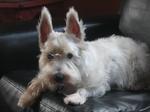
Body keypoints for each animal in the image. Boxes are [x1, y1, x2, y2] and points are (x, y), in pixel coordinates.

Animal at [17, 6, 150, 107]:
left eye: (70, 55)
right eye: (49, 56)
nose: (58, 77)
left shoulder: (99, 86)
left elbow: (84, 89)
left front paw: (74, 97)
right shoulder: (47, 76)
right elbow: (38, 81)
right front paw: (25, 97)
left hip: (138, 65)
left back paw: (137, 85)